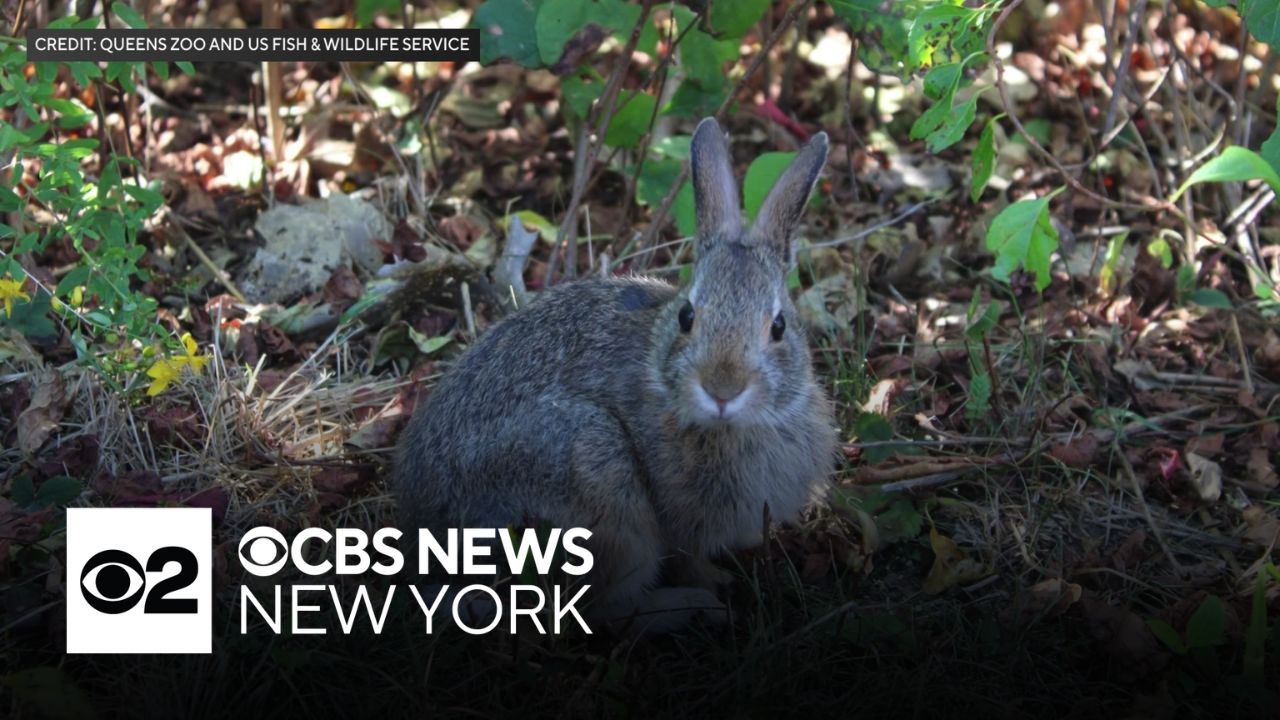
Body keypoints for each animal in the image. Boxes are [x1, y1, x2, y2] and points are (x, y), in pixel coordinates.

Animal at [394, 117, 837, 633]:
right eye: (687, 316)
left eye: (779, 326)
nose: (722, 389)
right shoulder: (676, 520)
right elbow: (688, 557)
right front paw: (715, 584)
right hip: (599, 479)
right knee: (592, 608)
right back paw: (691, 607)